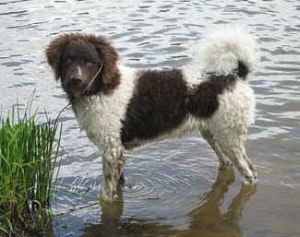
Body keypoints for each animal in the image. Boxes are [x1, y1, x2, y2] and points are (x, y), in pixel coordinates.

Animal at [45, 26, 256, 199]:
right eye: (68, 59)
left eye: (91, 62)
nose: (76, 80)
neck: (101, 89)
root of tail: (235, 75)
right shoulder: (117, 154)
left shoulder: (111, 150)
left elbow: (106, 197)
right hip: (213, 133)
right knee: (227, 164)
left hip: (230, 138)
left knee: (250, 173)